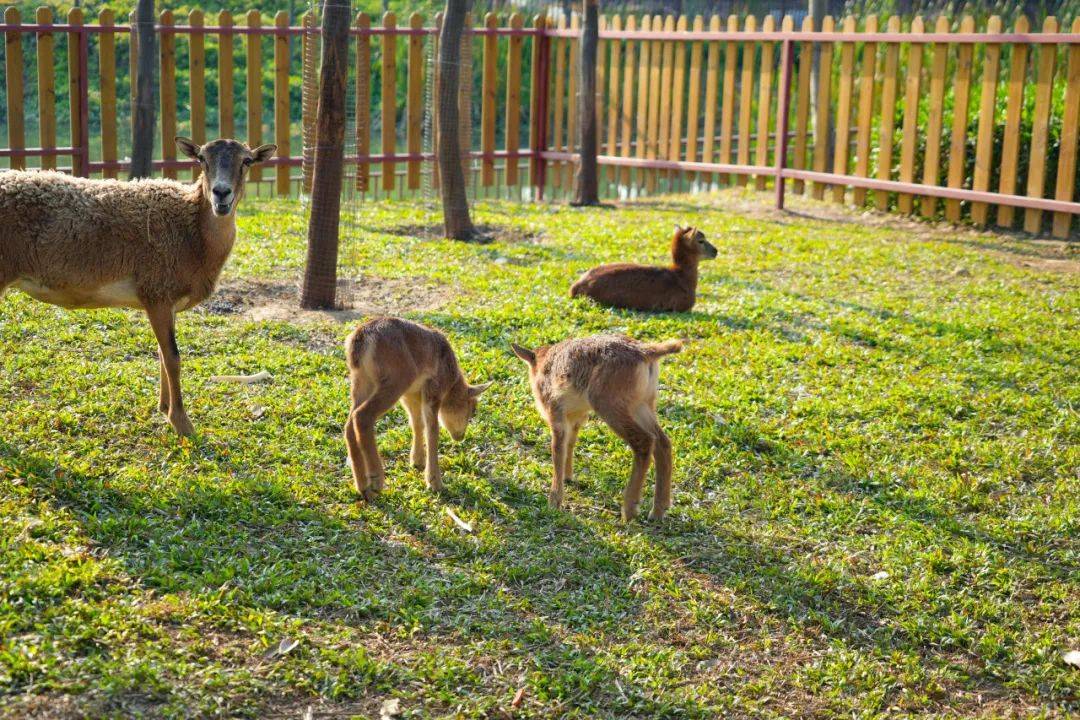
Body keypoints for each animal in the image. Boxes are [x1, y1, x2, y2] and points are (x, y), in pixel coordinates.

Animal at [343, 317, 492, 500]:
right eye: (472, 410)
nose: (460, 436)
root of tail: (361, 338)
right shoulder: (433, 392)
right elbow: (433, 431)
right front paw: (435, 482)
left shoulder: (411, 395)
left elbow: (417, 424)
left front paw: (417, 461)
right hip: (395, 382)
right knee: (362, 417)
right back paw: (376, 480)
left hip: (362, 383)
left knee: (349, 426)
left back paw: (364, 487)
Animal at [511, 332, 682, 524]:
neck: (544, 365)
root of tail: (647, 351)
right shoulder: (575, 418)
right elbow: (570, 444)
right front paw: (568, 477)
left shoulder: (556, 414)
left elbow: (557, 452)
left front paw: (554, 502)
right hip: (642, 405)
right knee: (663, 442)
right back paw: (658, 510)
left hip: (610, 407)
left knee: (644, 441)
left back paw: (629, 510)